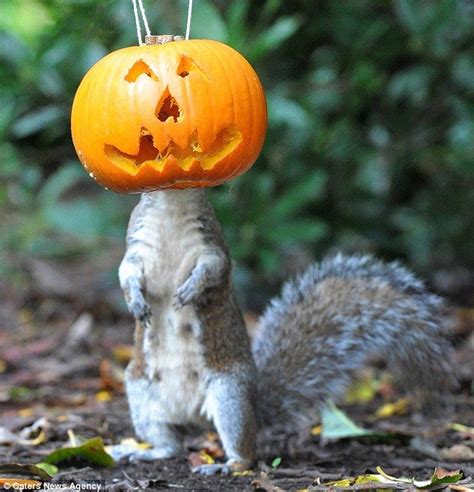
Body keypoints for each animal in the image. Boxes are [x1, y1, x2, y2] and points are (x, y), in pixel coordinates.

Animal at [115, 187, 456, 472]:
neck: (172, 209)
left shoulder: (213, 245)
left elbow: (213, 269)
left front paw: (191, 289)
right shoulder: (136, 244)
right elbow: (125, 271)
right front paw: (136, 302)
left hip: (229, 395)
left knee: (244, 451)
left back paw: (227, 465)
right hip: (141, 396)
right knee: (170, 444)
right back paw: (143, 451)